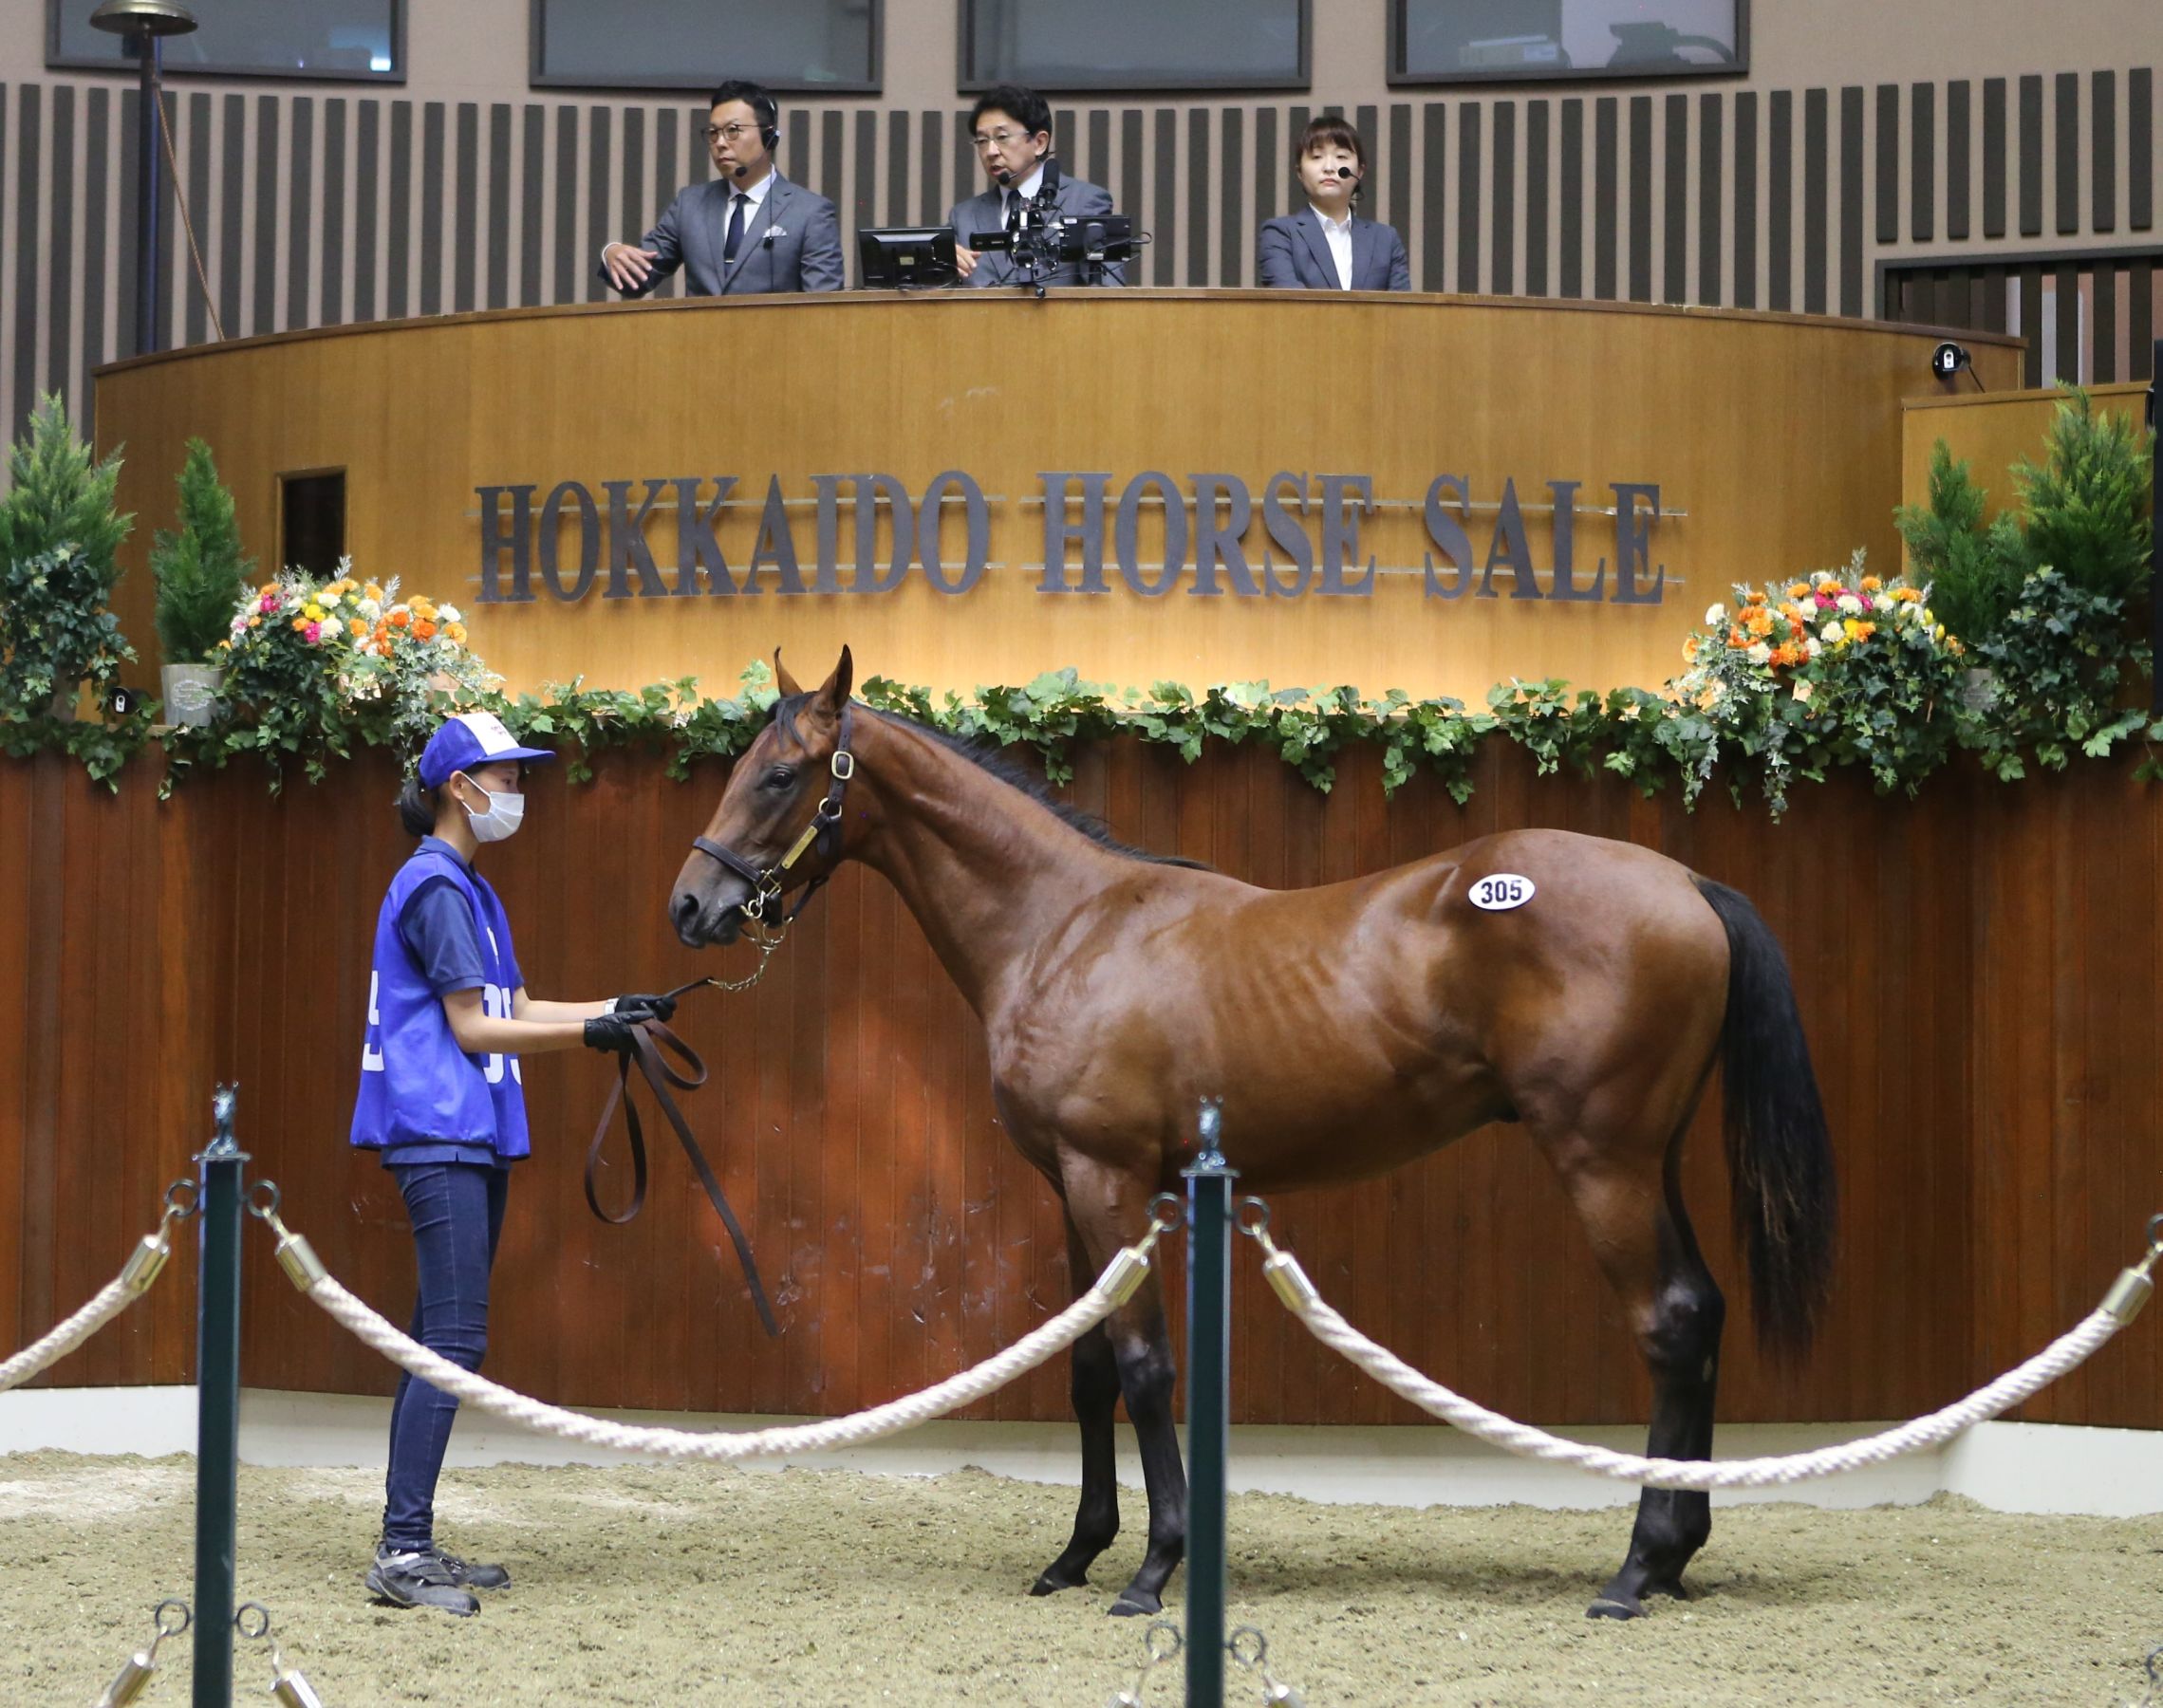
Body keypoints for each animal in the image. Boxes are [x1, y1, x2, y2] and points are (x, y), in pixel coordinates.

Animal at [667, 648, 1837, 1621]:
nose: (691, 905)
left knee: (1669, 1322)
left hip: (1602, 1165)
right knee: (1704, 1310)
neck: (1064, 927)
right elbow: (1087, 1366)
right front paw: (1075, 1554)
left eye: (780, 775)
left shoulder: (1110, 1179)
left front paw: (1152, 1568)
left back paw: (1637, 1568)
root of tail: (1685, 883)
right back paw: (1676, 1553)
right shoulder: (1068, 1190)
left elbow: (1144, 1368)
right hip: (1651, 1159)